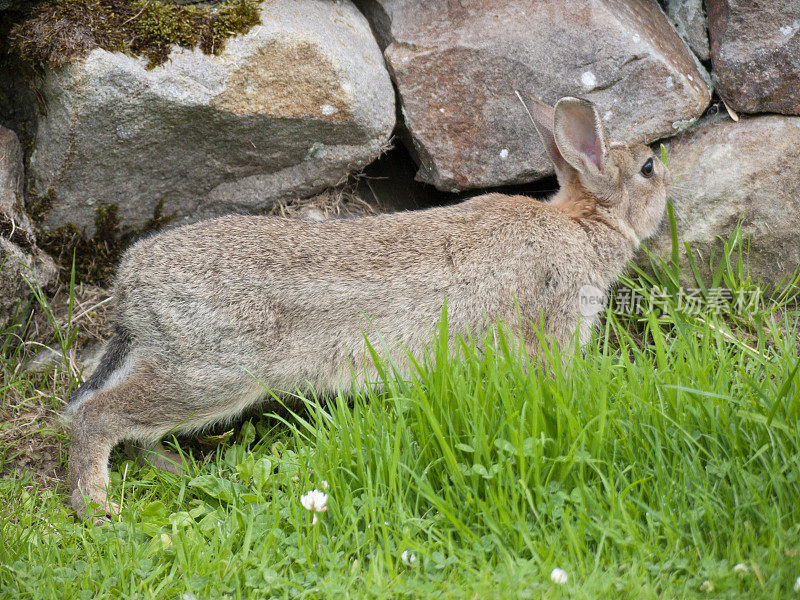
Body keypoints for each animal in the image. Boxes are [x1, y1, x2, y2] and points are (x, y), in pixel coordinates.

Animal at [62, 96, 668, 516]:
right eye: (647, 170)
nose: (662, 164)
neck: (583, 224)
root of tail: (131, 284)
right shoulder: (553, 322)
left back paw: (168, 467)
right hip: (213, 371)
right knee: (98, 416)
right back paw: (97, 505)